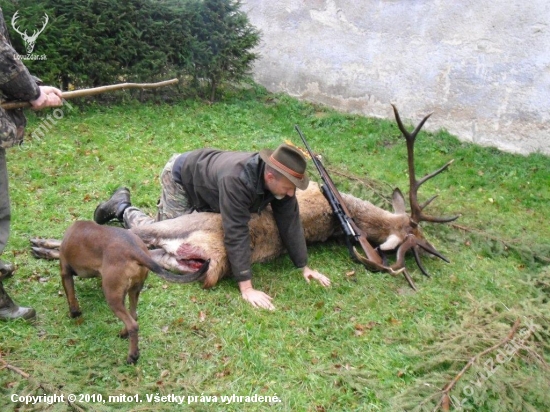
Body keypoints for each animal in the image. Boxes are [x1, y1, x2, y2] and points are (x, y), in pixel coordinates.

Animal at [58, 222, 209, 364]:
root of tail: (134, 250)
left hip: (113, 296)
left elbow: (71, 297)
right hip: (134, 291)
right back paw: (124, 334)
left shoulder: (65, 272)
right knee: (134, 315)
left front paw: (74, 313)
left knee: (133, 325)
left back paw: (132, 356)